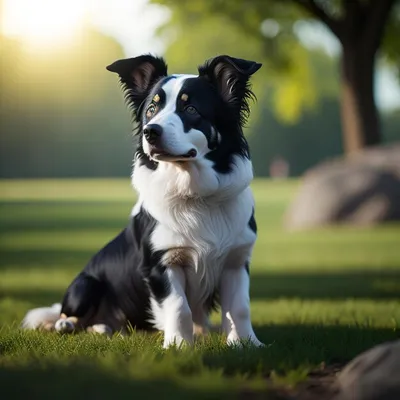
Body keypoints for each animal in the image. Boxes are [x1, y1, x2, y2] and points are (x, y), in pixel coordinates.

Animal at [22, 54, 266, 348]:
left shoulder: (236, 260)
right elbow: (178, 306)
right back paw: (68, 324)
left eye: (191, 109)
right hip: (84, 285)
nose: (151, 132)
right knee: (65, 313)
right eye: (151, 109)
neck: (195, 193)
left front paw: (246, 344)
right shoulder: (161, 262)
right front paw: (178, 345)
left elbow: (240, 307)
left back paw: (104, 328)